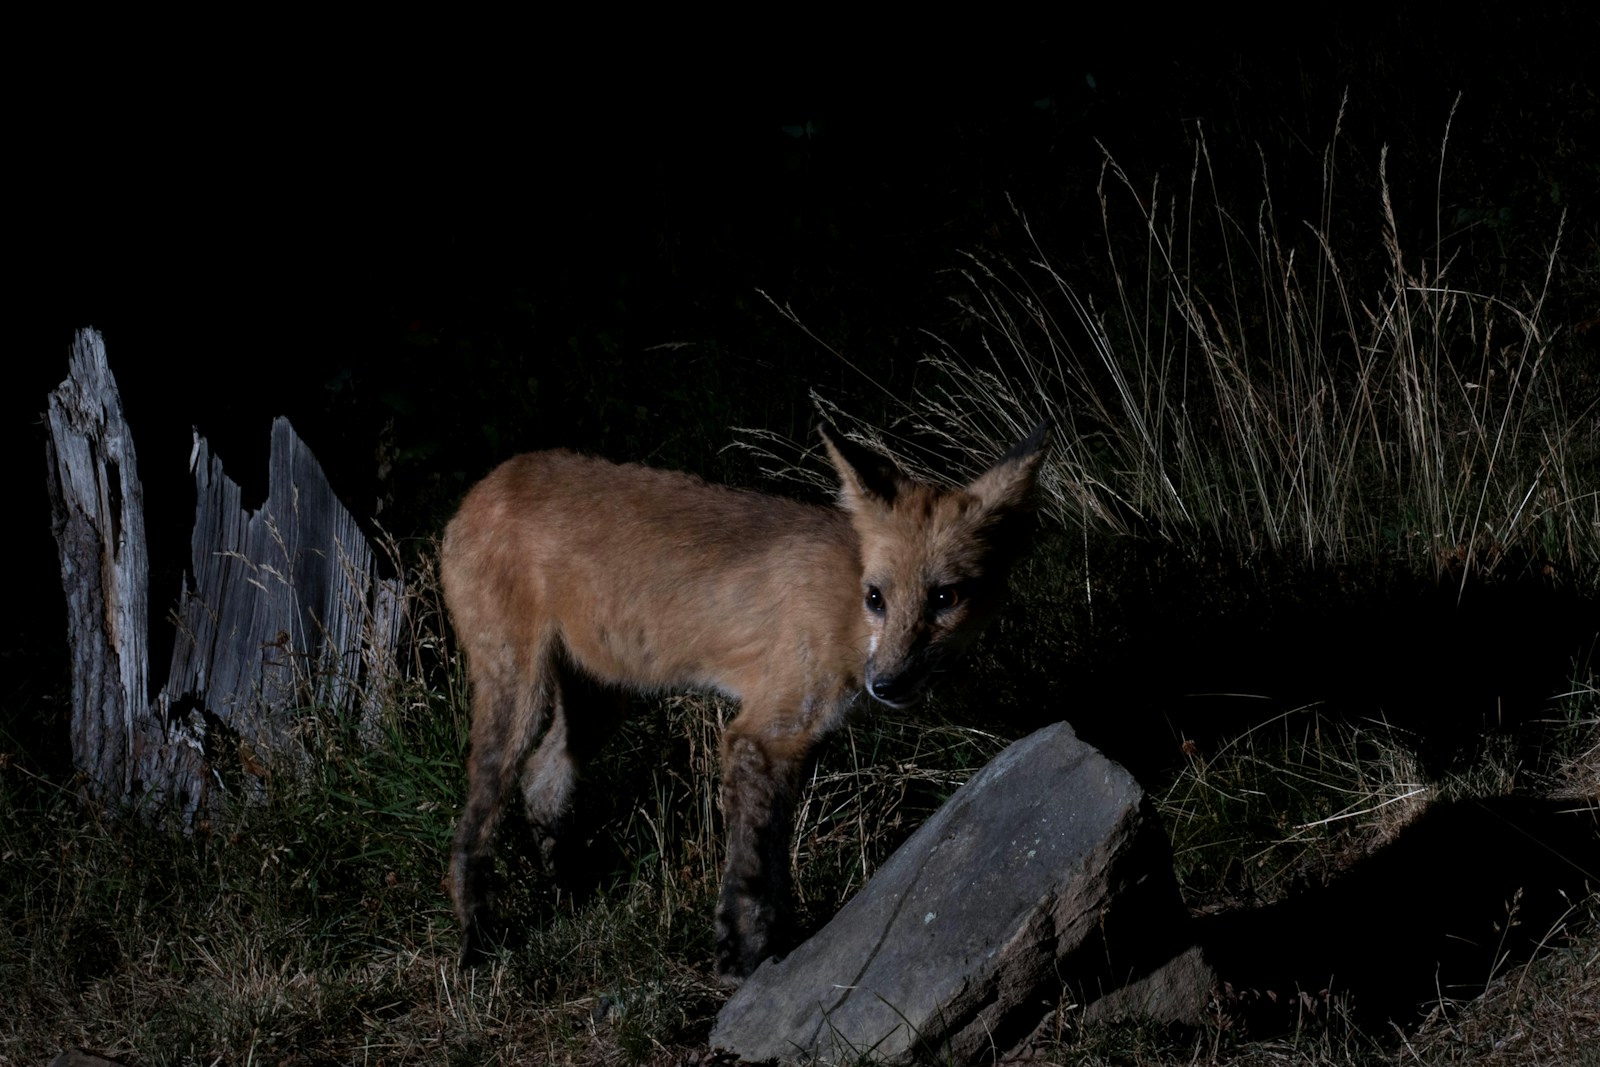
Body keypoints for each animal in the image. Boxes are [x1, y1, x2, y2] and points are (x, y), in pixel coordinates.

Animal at [444, 419, 1056, 985]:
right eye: (876, 597)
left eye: (945, 597)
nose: (887, 685)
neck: (848, 613)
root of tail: (487, 484)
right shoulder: (762, 735)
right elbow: (753, 868)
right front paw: (744, 960)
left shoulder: (799, 743)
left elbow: (775, 857)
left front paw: (776, 944)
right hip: (519, 695)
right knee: (477, 815)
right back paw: (476, 938)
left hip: (598, 705)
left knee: (543, 782)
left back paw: (568, 893)